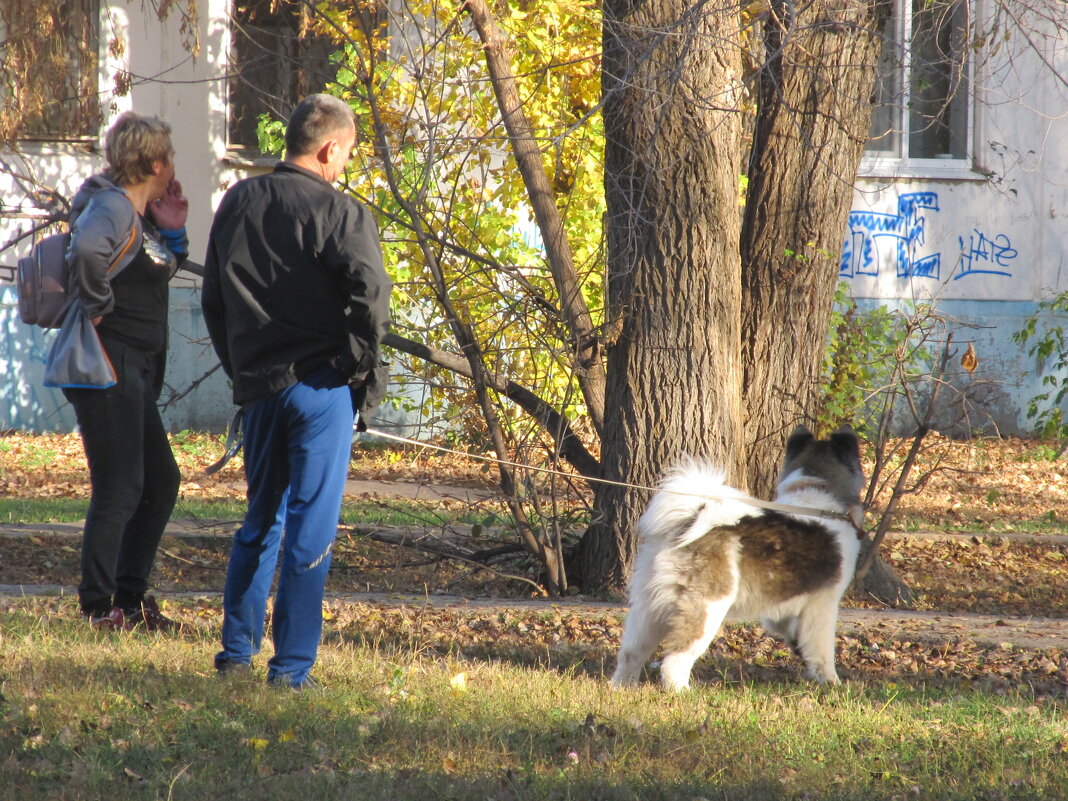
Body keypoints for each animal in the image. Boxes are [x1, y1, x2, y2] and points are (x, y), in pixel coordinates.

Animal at [610, 427, 867, 692]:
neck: (817, 495)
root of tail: (689, 520)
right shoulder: (823, 604)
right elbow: (823, 652)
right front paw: (832, 683)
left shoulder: (782, 602)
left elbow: (785, 626)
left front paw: (796, 643)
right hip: (707, 608)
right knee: (673, 661)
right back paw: (683, 693)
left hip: (648, 609)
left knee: (630, 654)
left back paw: (622, 688)